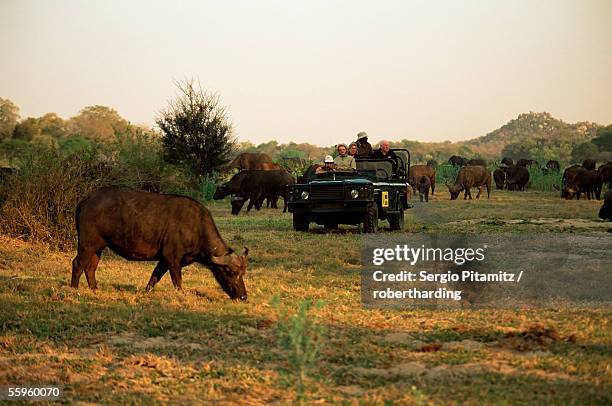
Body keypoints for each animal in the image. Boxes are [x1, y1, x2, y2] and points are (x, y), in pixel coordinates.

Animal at [69, 189, 246, 300]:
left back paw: (95, 289)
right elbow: (177, 281)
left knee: (90, 267)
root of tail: (88, 198)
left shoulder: (164, 260)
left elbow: (155, 277)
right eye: (231, 272)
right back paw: (74, 289)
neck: (196, 227)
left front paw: (146, 292)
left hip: (97, 247)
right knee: (78, 264)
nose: (244, 296)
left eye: (243, 273)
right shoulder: (172, 259)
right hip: (87, 244)